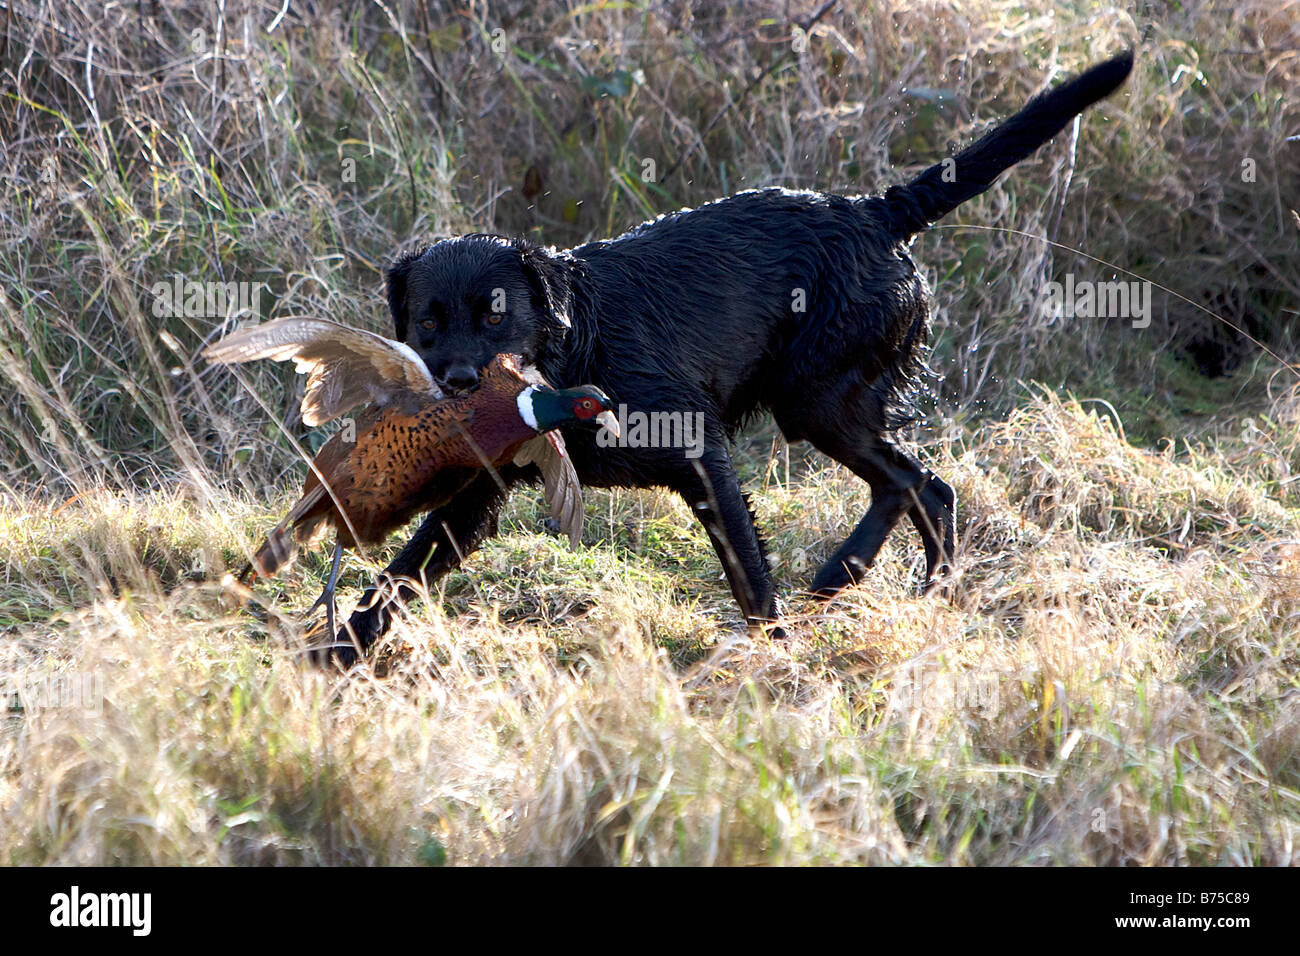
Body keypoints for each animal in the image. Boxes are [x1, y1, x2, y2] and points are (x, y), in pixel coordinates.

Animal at [322, 50, 1128, 665]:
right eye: (426, 324)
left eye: (497, 314)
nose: (459, 382)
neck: (576, 346)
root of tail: (874, 211)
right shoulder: (474, 497)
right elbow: (399, 574)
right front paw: (336, 653)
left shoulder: (699, 450)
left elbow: (748, 571)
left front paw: (773, 660)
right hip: (826, 403)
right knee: (927, 488)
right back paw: (898, 587)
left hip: (819, 399)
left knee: (911, 482)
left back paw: (856, 580)